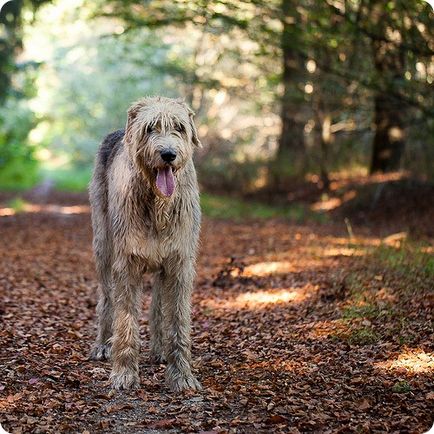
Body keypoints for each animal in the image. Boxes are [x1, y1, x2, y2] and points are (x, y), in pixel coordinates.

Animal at [89, 96, 203, 392]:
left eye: (179, 127)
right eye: (150, 128)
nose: (168, 154)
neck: (157, 204)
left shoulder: (179, 263)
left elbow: (177, 320)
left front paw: (182, 375)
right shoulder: (127, 263)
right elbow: (126, 320)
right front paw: (124, 373)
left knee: (158, 305)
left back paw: (159, 350)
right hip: (103, 244)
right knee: (106, 298)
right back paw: (103, 344)